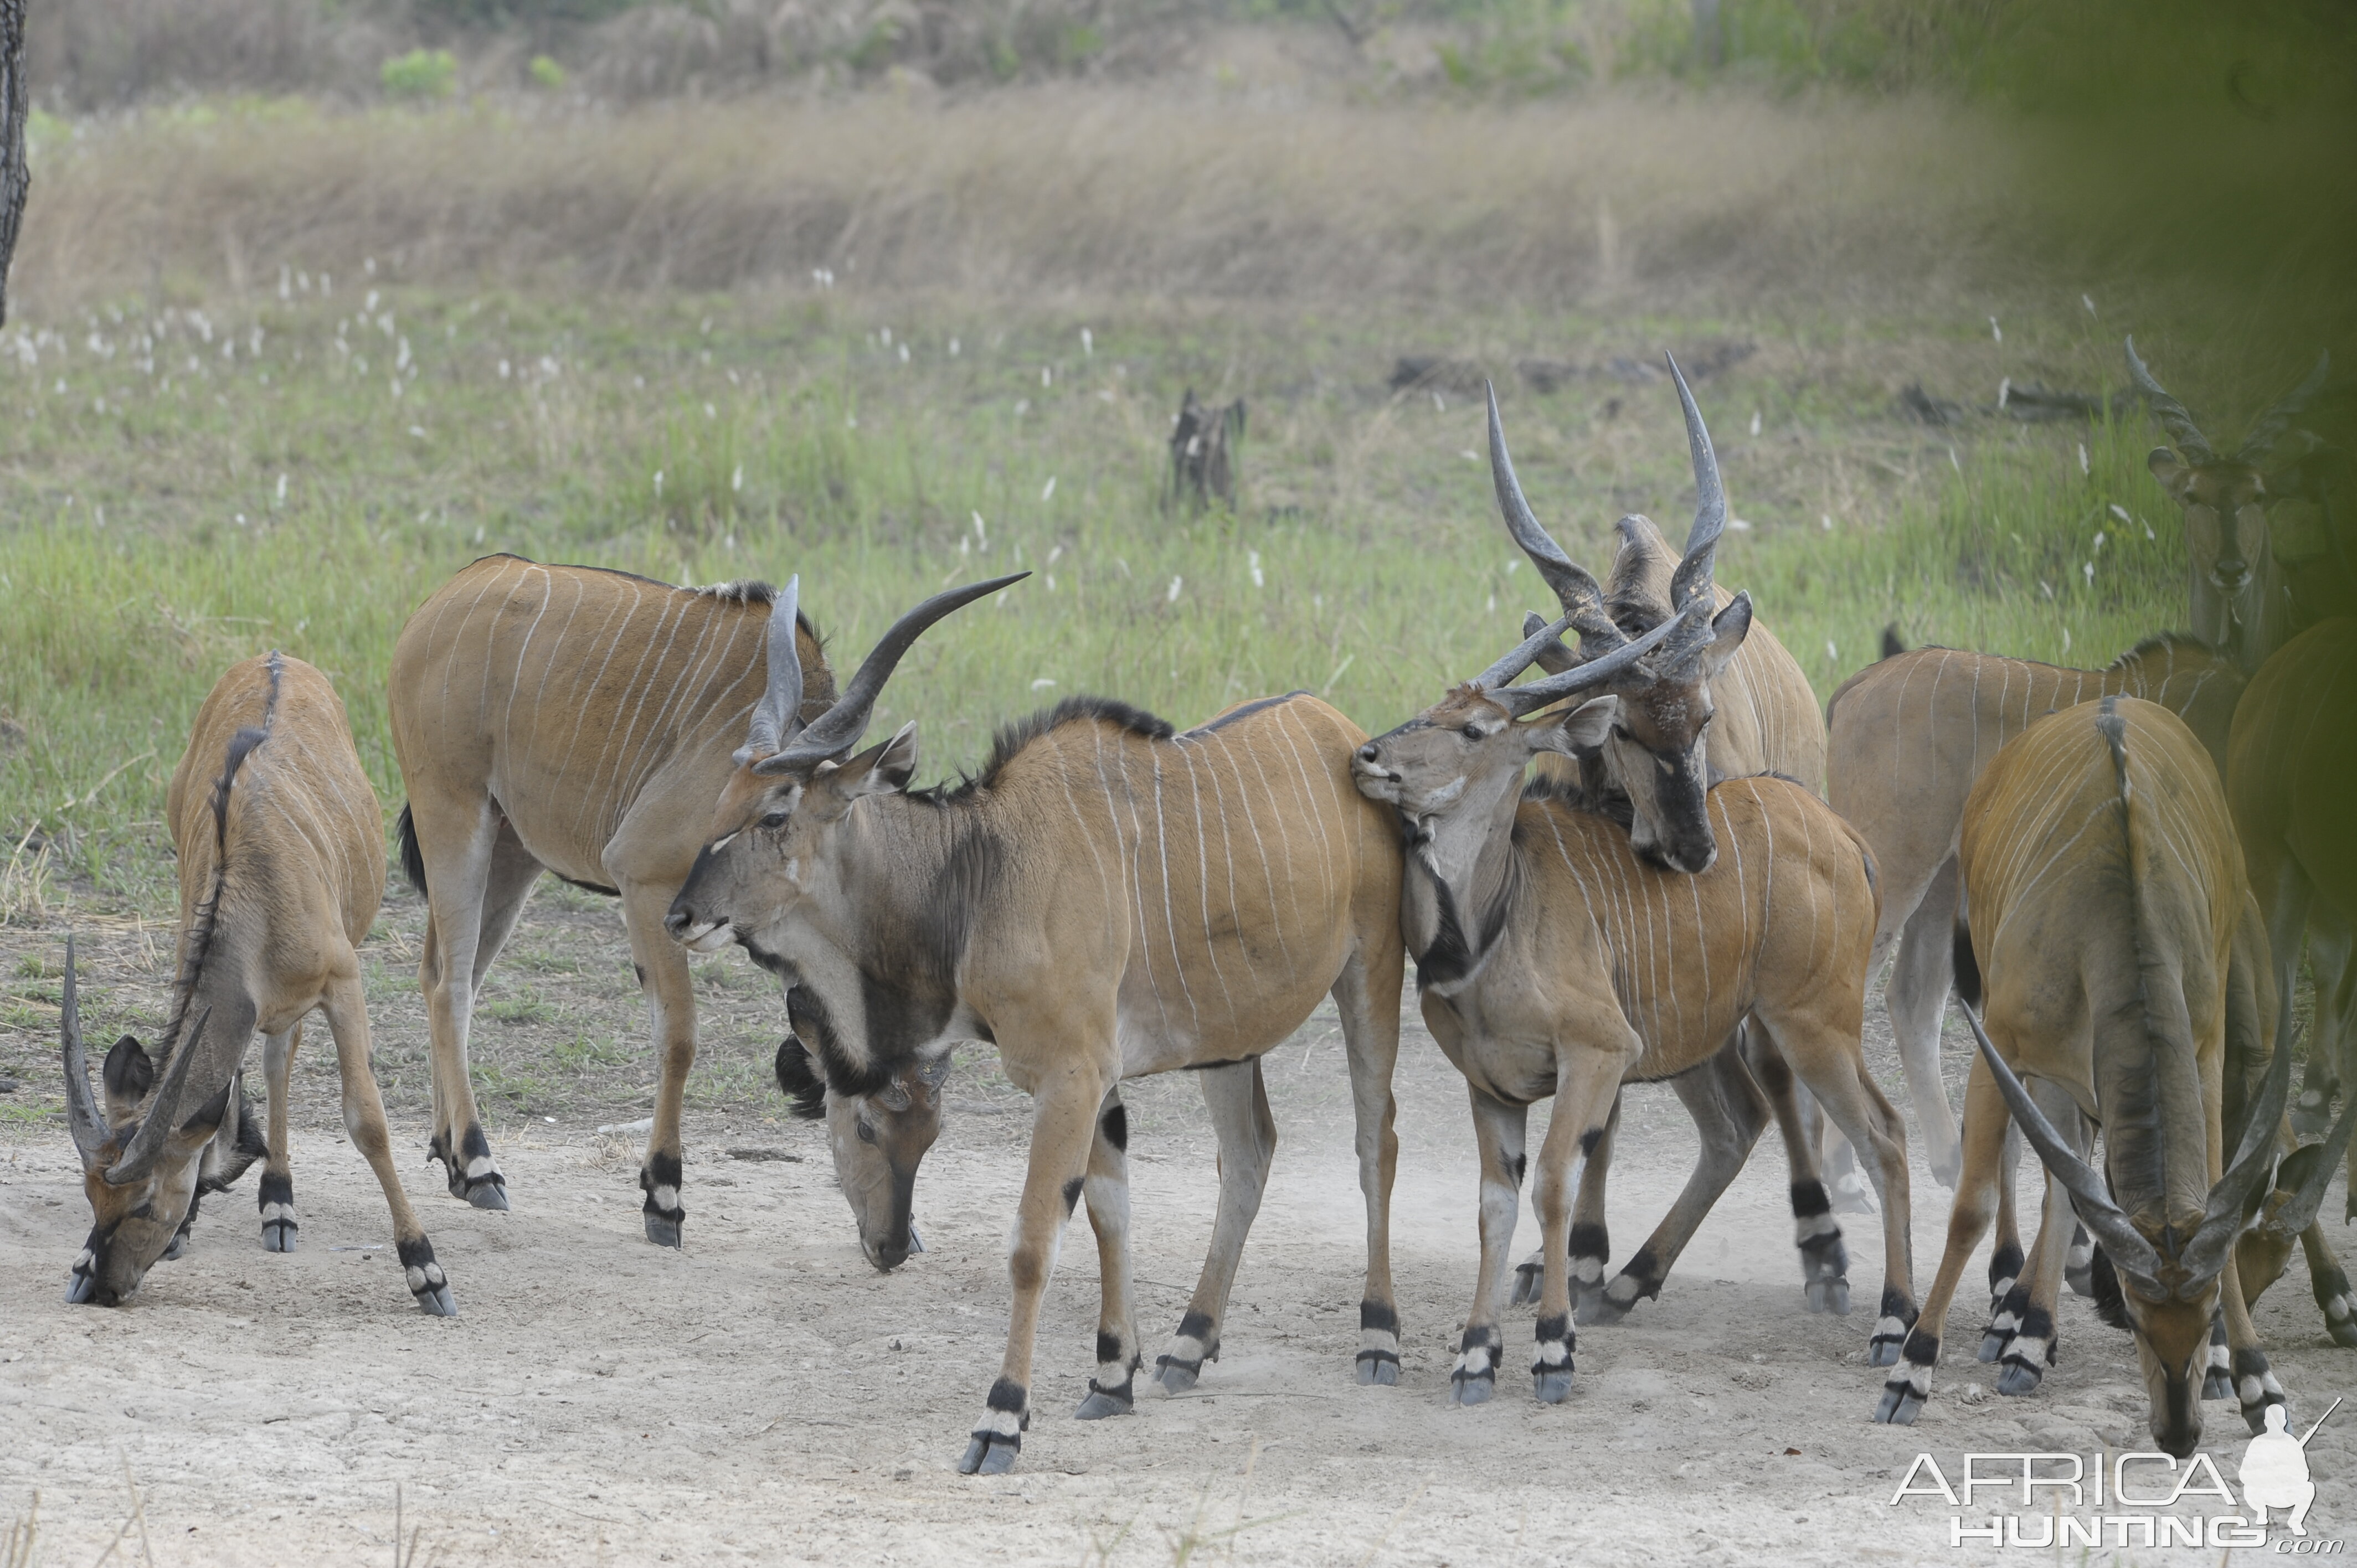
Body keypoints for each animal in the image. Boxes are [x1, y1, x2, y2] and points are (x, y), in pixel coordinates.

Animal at [63, 655, 455, 1311]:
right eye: (92, 1197)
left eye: (143, 1204)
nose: (102, 1287)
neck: (254, 876)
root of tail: (276, 657)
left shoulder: (344, 982)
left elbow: (367, 1121)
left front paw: (425, 1270)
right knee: (270, 1059)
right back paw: (275, 1201)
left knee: (279, 1060)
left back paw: (280, 1204)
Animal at [398, 549, 848, 1235]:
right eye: (770, 814)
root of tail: (453, 590)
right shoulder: (645, 880)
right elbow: (679, 1036)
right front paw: (663, 1195)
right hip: (452, 817)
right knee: (450, 988)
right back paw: (478, 1166)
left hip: (510, 852)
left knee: (447, 976)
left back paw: (449, 1151)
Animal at [665, 572, 1414, 1471]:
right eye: (721, 802)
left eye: (775, 815)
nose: (680, 915)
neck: (983, 874)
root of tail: (1341, 730)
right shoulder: (1094, 1080)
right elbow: (1107, 1212)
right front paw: (1113, 1378)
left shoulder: (1071, 1076)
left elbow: (1031, 1245)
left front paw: (1001, 1419)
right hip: (1228, 1043)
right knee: (1250, 1154)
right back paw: (1189, 1345)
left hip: (1370, 979)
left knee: (1376, 1143)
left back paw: (1378, 1337)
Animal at [1348, 604, 1913, 1396]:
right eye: (1433, 707)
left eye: (1473, 730)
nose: (1368, 757)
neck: (1496, 912)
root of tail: (1842, 835)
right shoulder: (1491, 1086)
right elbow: (1495, 1205)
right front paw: (1475, 1354)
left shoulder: (1599, 1052)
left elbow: (1553, 1183)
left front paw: (1553, 1346)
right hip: (1708, 1039)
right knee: (1737, 1126)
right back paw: (1628, 1282)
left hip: (1813, 1024)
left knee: (1882, 1136)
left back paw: (1892, 1322)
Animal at [1876, 698, 2319, 1452]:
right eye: (2136, 1320)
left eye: (2205, 1316)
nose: (2179, 1433)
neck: (2121, 906)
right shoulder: (2001, 1045)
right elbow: (1972, 1205)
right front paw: (1913, 1369)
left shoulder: (2203, 1051)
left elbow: (2210, 1192)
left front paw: (2254, 1378)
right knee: (2042, 1177)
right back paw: (2014, 1330)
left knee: (2067, 1183)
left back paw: (2030, 1335)